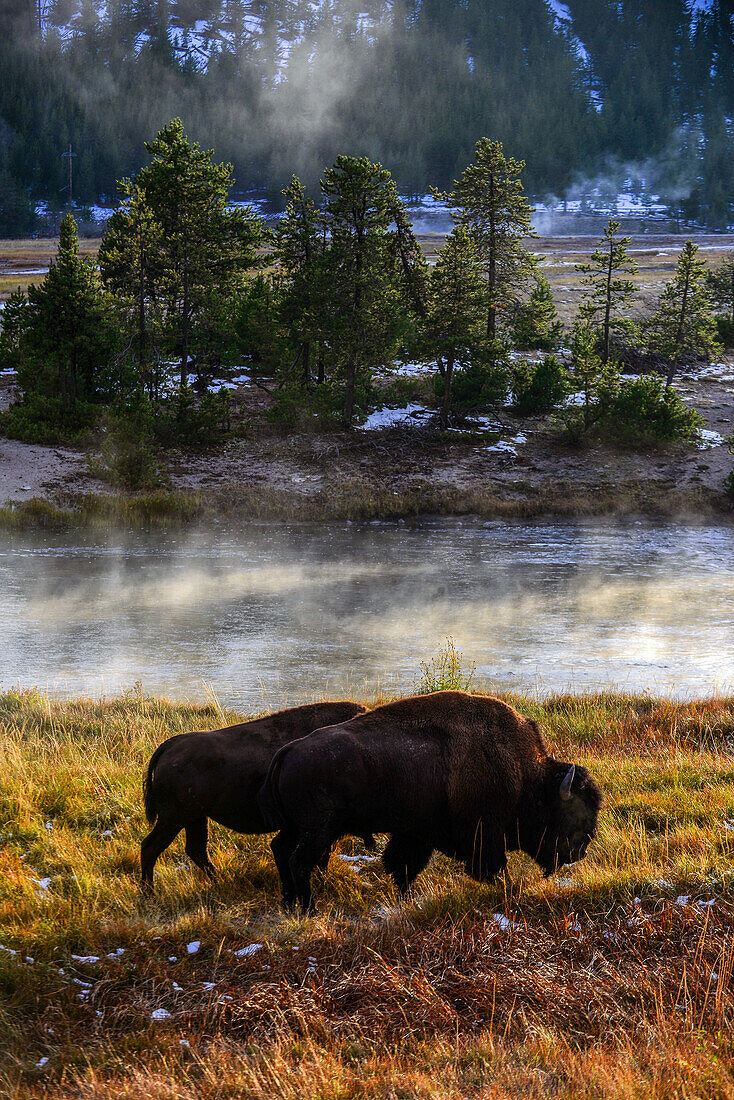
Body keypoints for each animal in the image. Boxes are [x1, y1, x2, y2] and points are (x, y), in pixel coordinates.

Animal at [138, 704, 367, 893]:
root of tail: (170, 745)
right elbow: (321, 854)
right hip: (174, 817)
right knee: (151, 846)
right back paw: (149, 892)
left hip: (195, 817)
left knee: (196, 850)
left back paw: (219, 881)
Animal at [258, 686, 603, 910]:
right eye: (573, 813)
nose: (580, 851)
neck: (525, 774)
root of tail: (287, 751)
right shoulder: (482, 832)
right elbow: (490, 866)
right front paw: (510, 888)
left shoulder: (415, 832)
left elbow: (402, 864)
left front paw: (407, 898)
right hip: (318, 830)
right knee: (298, 860)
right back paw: (308, 907)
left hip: (297, 828)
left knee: (280, 849)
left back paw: (288, 902)